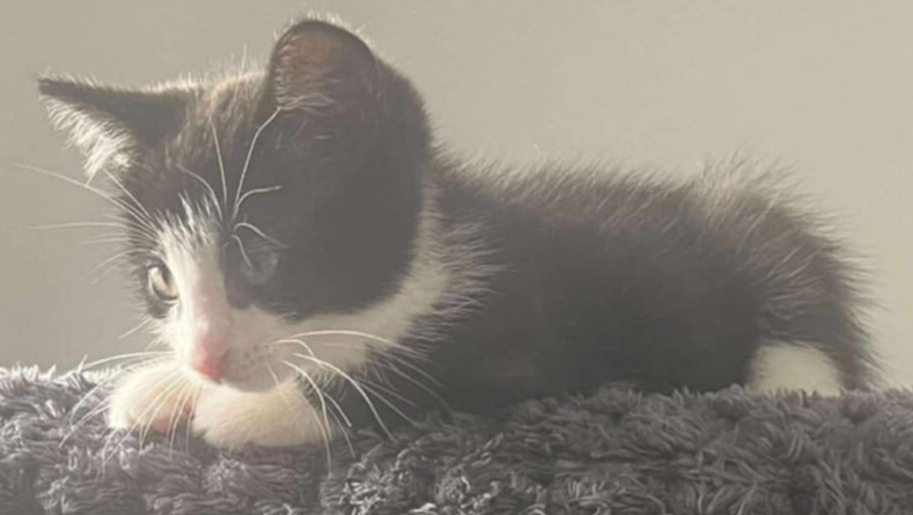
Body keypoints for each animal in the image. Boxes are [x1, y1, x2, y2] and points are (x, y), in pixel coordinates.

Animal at [38, 19, 876, 449]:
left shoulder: (535, 337)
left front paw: (244, 409)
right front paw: (164, 382)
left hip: (758, 261)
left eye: (259, 256)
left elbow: (412, 379)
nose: (203, 357)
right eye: (161, 280)